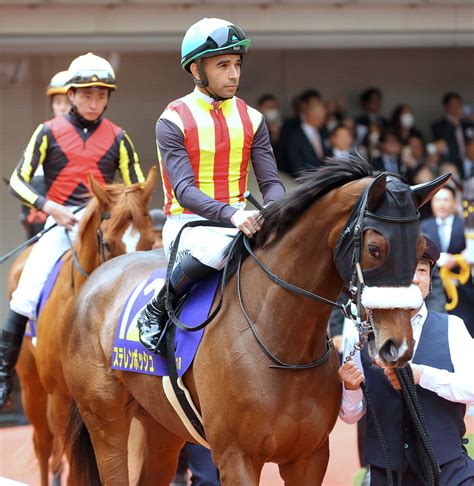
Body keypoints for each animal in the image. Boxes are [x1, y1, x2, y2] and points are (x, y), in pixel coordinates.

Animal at [61, 158, 446, 484]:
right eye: (375, 248)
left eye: (419, 248)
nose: (397, 345)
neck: (280, 342)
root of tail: (96, 278)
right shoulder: (236, 457)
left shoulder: (309, 457)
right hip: (107, 422)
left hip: (161, 429)